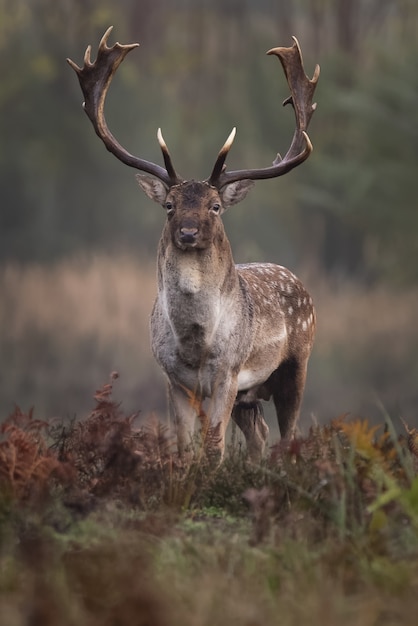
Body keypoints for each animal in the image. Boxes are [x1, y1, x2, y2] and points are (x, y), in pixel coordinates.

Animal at [67, 25, 318, 458]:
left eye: (215, 206)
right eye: (169, 205)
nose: (187, 232)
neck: (195, 345)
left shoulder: (229, 372)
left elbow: (214, 447)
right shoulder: (173, 378)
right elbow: (184, 447)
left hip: (295, 365)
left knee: (288, 436)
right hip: (251, 395)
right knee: (260, 435)